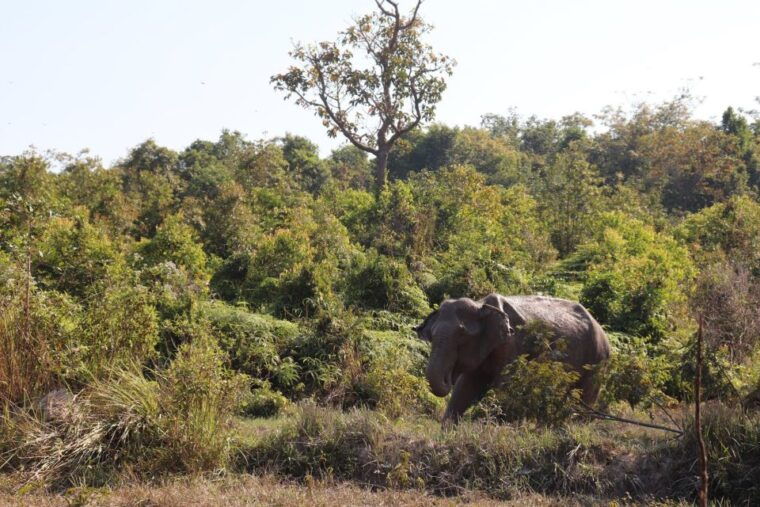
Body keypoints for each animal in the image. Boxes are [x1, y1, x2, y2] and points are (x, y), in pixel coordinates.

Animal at [414, 293, 611, 423]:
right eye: (431, 335)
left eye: (462, 334)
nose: (449, 377)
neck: (481, 306)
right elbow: (464, 387)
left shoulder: (513, 345)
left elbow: (504, 387)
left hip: (597, 362)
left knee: (585, 398)